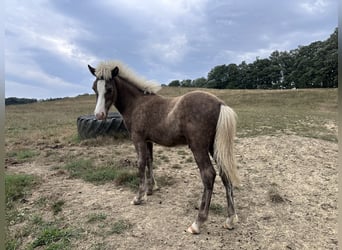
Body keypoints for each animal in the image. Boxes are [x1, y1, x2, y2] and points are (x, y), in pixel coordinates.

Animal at [87, 61, 239, 234]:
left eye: (109, 89)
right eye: (94, 88)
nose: (99, 115)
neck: (137, 103)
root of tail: (220, 104)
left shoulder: (138, 139)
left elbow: (140, 164)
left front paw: (138, 197)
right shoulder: (148, 141)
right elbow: (150, 161)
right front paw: (151, 189)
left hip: (198, 147)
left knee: (208, 175)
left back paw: (197, 223)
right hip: (214, 147)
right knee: (224, 173)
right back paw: (230, 219)